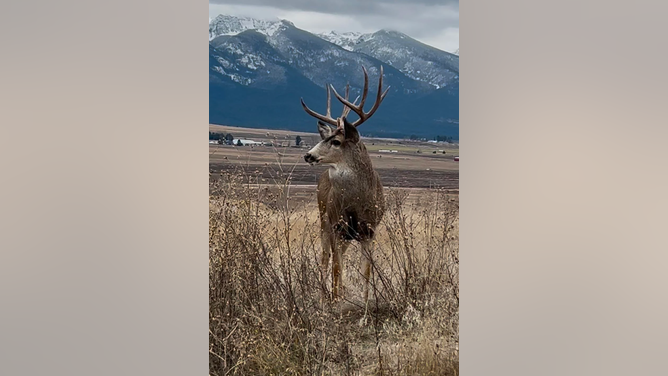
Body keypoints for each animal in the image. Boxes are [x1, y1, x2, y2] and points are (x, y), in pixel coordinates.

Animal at [300, 66, 388, 304]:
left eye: (336, 142)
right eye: (324, 138)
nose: (308, 155)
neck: (356, 204)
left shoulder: (369, 230)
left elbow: (366, 271)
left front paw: (365, 305)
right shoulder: (337, 226)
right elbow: (337, 268)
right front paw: (336, 302)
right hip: (324, 221)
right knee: (325, 258)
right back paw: (324, 296)